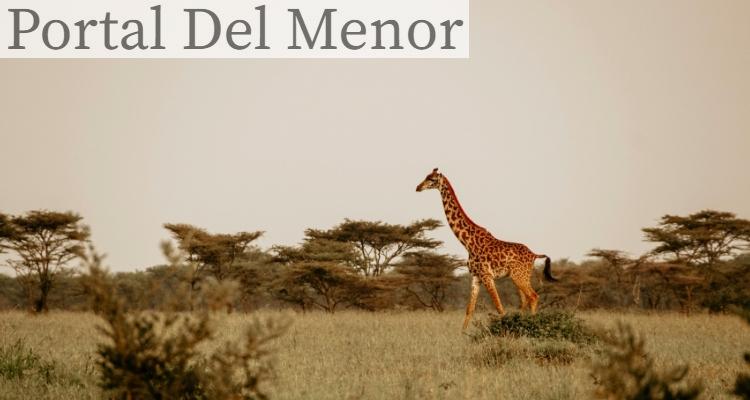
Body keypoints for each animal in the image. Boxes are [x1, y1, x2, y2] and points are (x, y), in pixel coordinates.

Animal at [416, 168, 557, 330]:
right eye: (426, 176)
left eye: (431, 179)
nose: (418, 187)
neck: (467, 242)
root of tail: (534, 255)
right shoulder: (476, 277)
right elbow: (469, 309)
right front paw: (462, 334)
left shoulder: (487, 275)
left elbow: (499, 308)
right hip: (520, 276)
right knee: (525, 301)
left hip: (519, 276)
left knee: (533, 297)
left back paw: (533, 326)